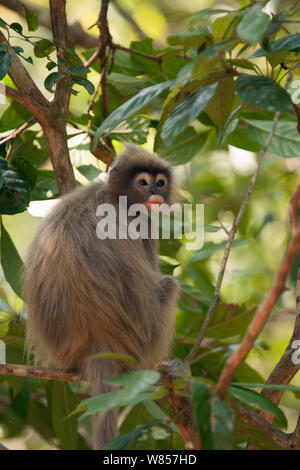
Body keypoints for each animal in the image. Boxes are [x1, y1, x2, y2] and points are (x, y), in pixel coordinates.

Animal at [24, 145, 178, 450]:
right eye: (143, 182)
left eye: (160, 182)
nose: (154, 191)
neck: (115, 195)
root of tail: (99, 340)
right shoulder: (142, 226)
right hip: (143, 342)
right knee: (170, 285)